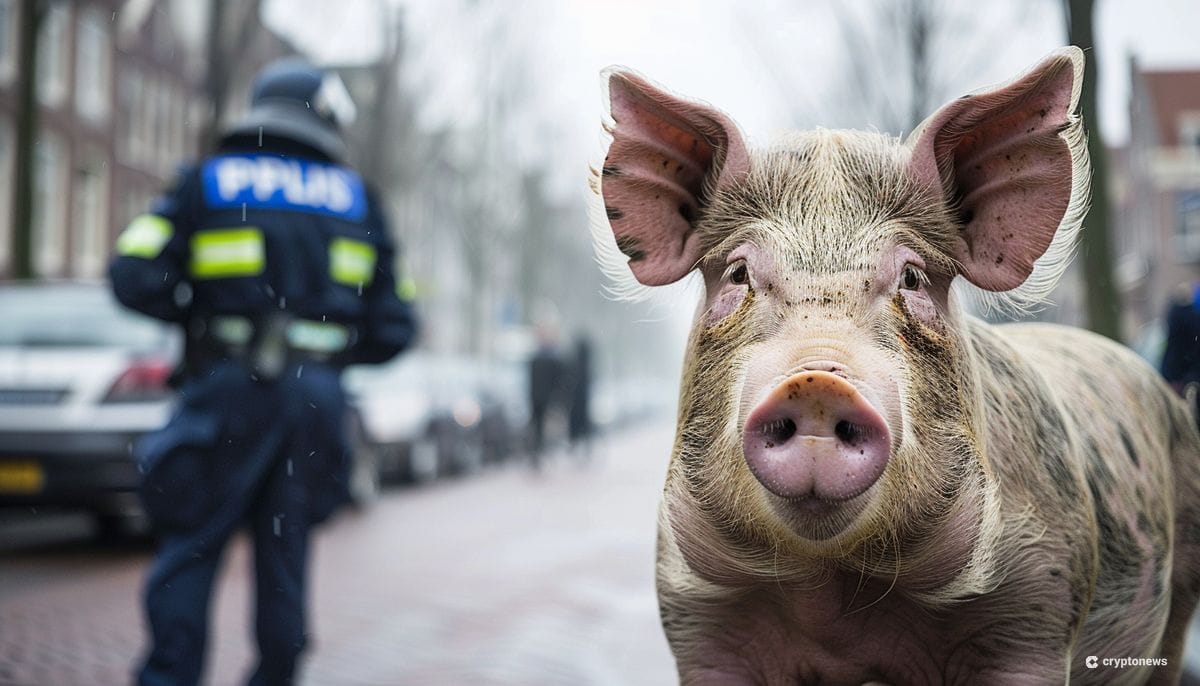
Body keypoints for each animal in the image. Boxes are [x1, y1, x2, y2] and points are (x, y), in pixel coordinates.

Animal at [591, 46, 1200, 685]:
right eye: (737, 273)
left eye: (911, 276)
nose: (816, 381)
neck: (830, 591)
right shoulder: (697, 619)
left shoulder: (1037, 610)